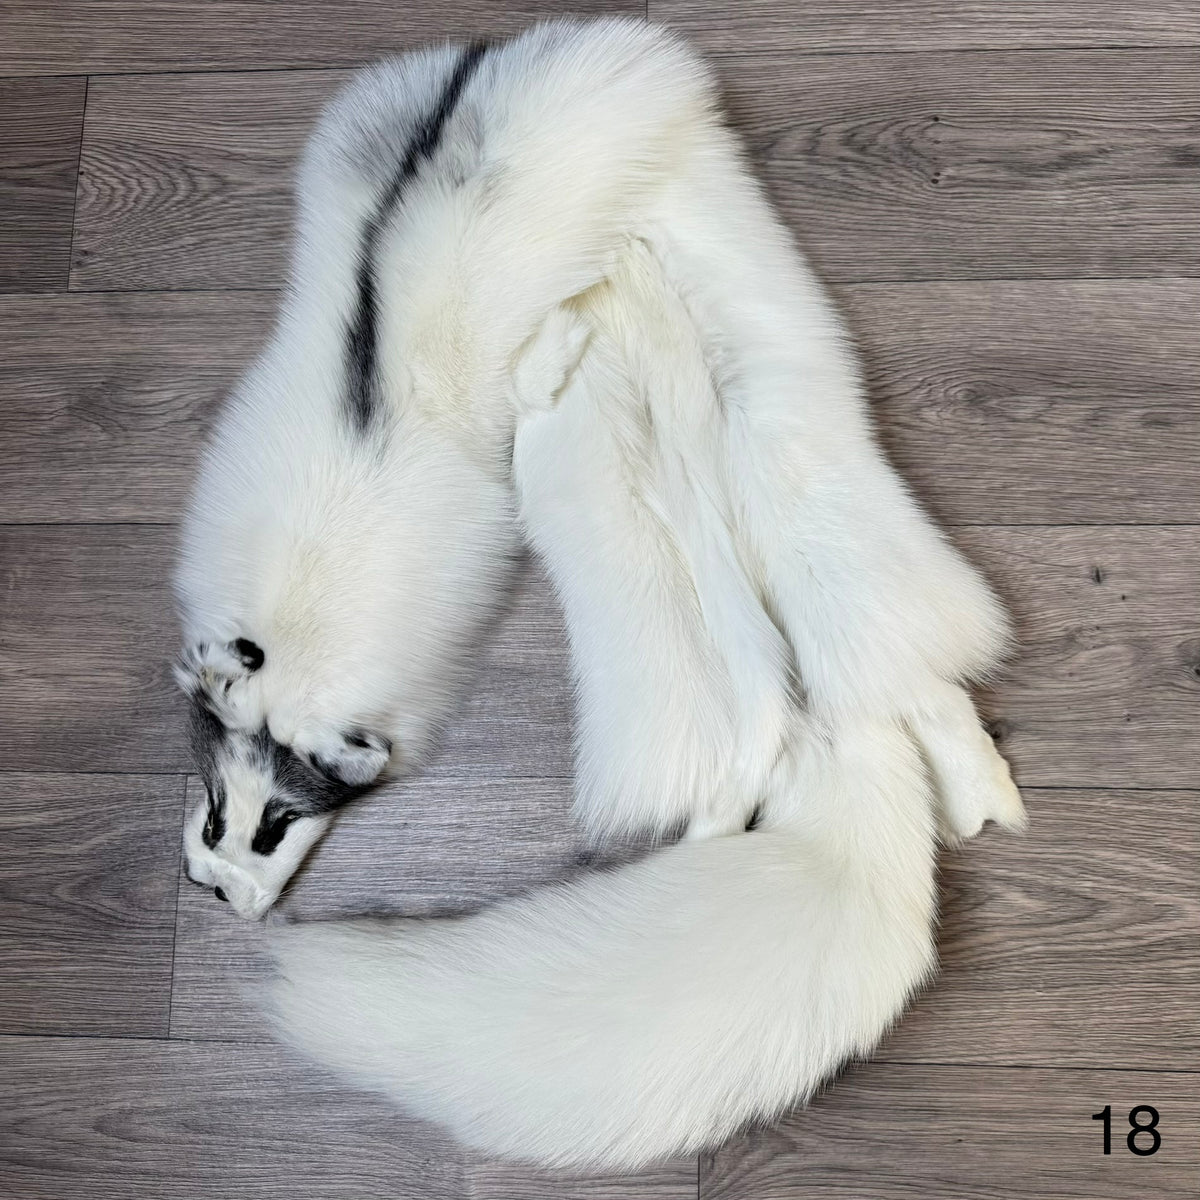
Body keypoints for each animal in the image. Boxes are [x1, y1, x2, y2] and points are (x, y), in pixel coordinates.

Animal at [174, 19, 1024, 1169]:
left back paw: (971, 790)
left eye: (276, 826)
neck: (303, 620)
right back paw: (971, 792)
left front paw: (565, 341)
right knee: (885, 677)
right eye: (219, 810)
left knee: (890, 672)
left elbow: (536, 372)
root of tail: (500, 51)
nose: (215, 894)